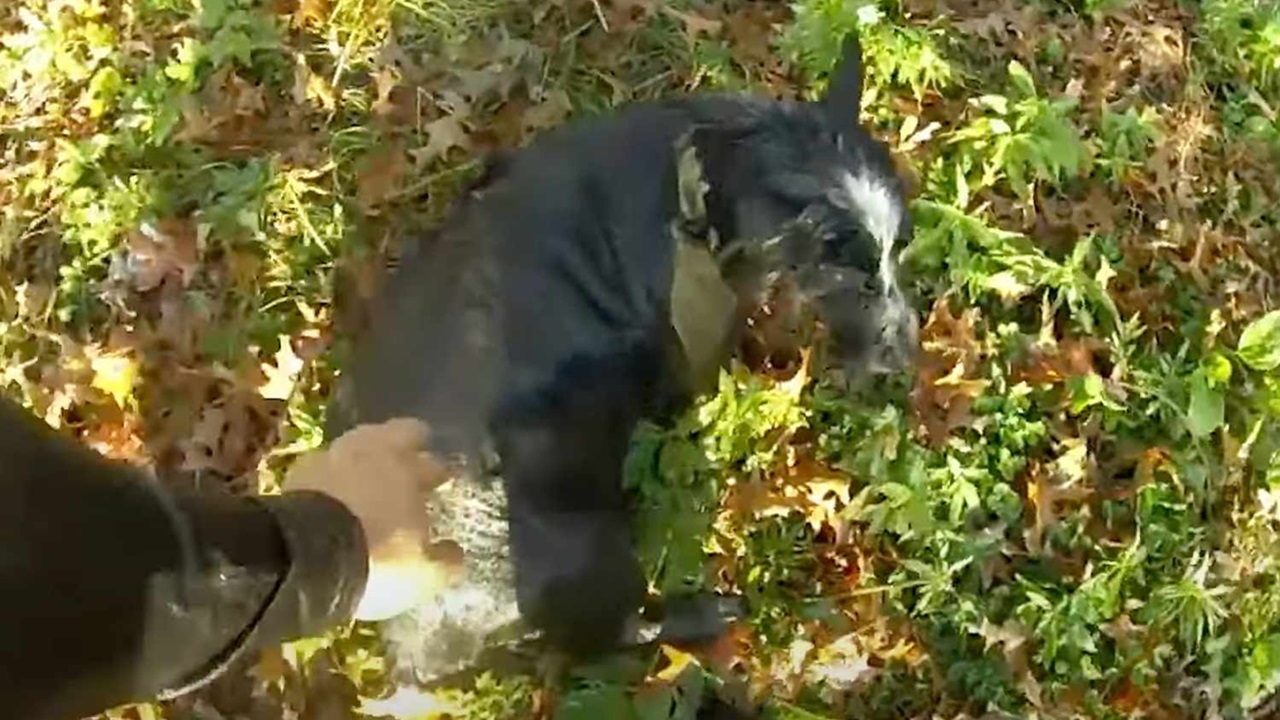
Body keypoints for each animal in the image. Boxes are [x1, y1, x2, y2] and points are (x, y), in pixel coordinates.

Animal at [327, 33, 911, 661]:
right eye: (852, 278)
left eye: (899, 248)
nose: (905, 364)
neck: (697, 197)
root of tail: (419, 646)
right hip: (594, 553)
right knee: (623, 632)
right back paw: (708, 612)